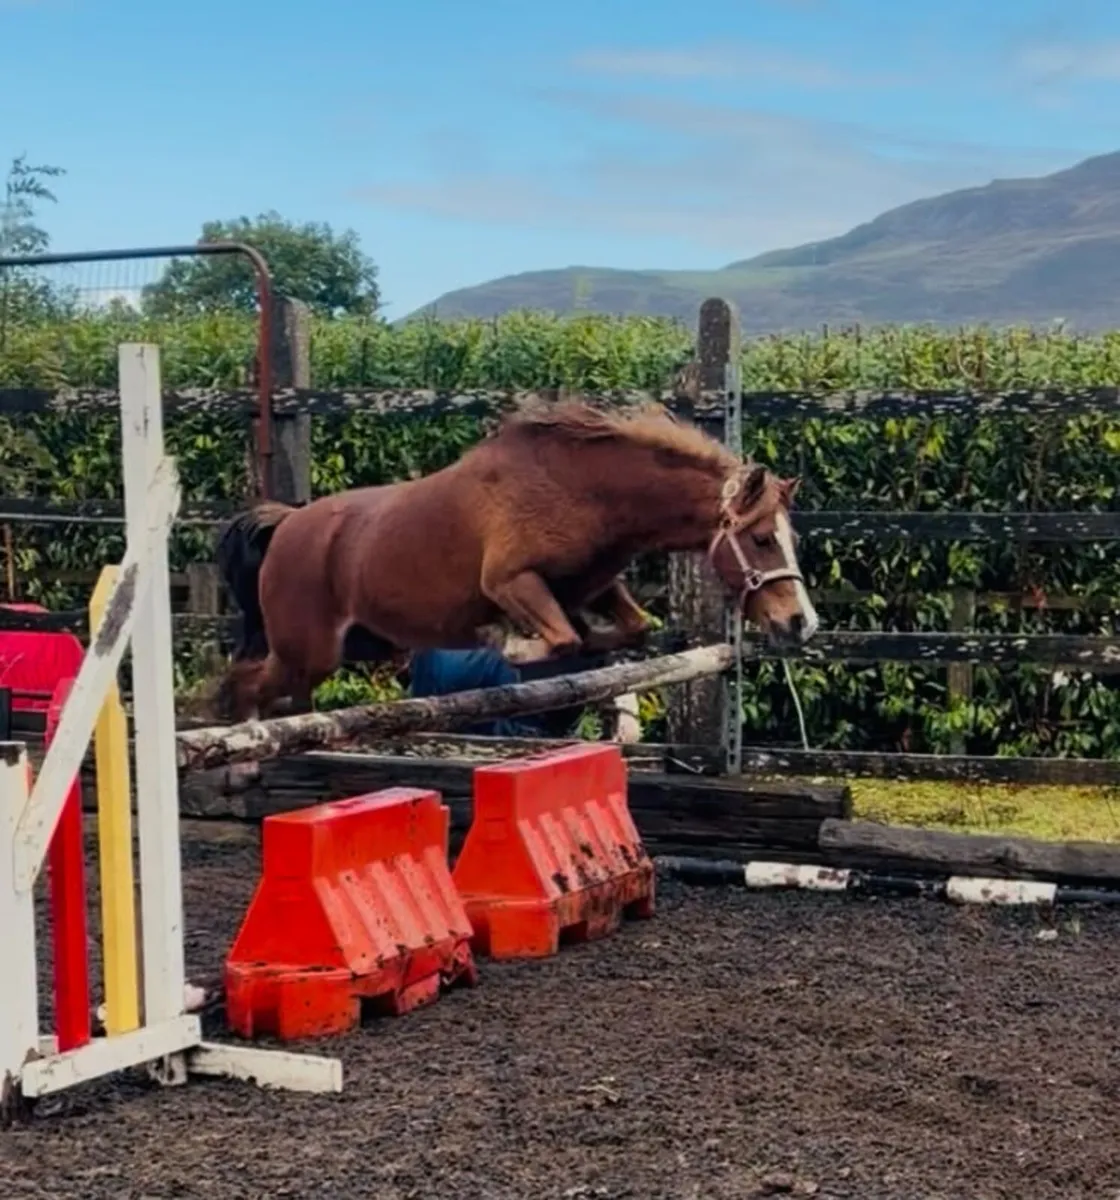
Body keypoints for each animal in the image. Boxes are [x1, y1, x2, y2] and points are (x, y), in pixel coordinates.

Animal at [211, 399, 819, 722]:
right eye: (761, 538)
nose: (801, 623)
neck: (583, 489)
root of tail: (287, 523)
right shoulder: (511, 581)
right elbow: (560, 638)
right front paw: (511, 644)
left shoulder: (591, 585)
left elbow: (629, 628)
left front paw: (586, 652)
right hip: (309, 651)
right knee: (245, 688)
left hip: (358, 645)